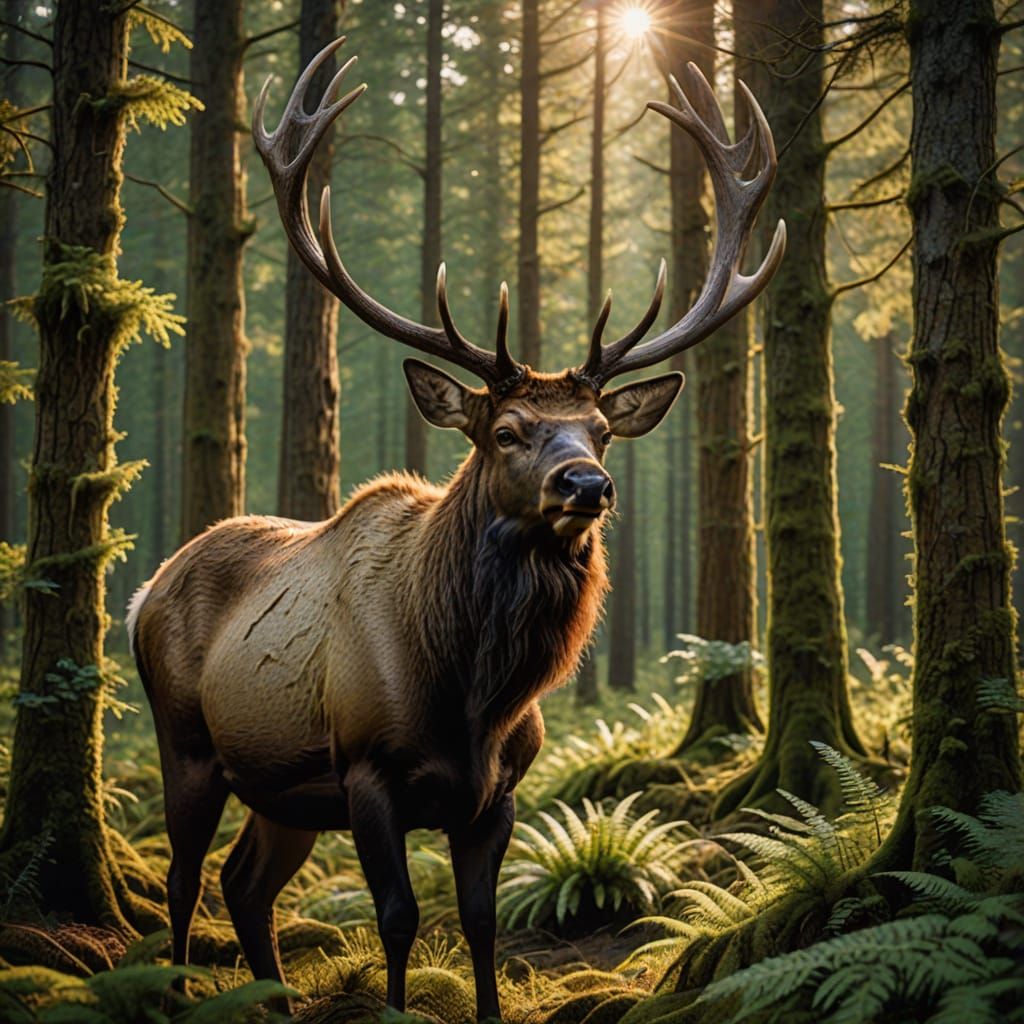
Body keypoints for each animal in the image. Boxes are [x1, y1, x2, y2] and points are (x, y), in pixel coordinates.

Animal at [127, 37, 784, 1022]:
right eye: (506, 431)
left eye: (600, 429)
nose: (588, 484)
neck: (472, 693)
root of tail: (144, 589)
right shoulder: (367, 770)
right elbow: (399, 919)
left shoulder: (498, 794)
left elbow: (480, 925)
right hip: (188, 743)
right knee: (181, 881)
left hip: (283, 788)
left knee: (245, 886)